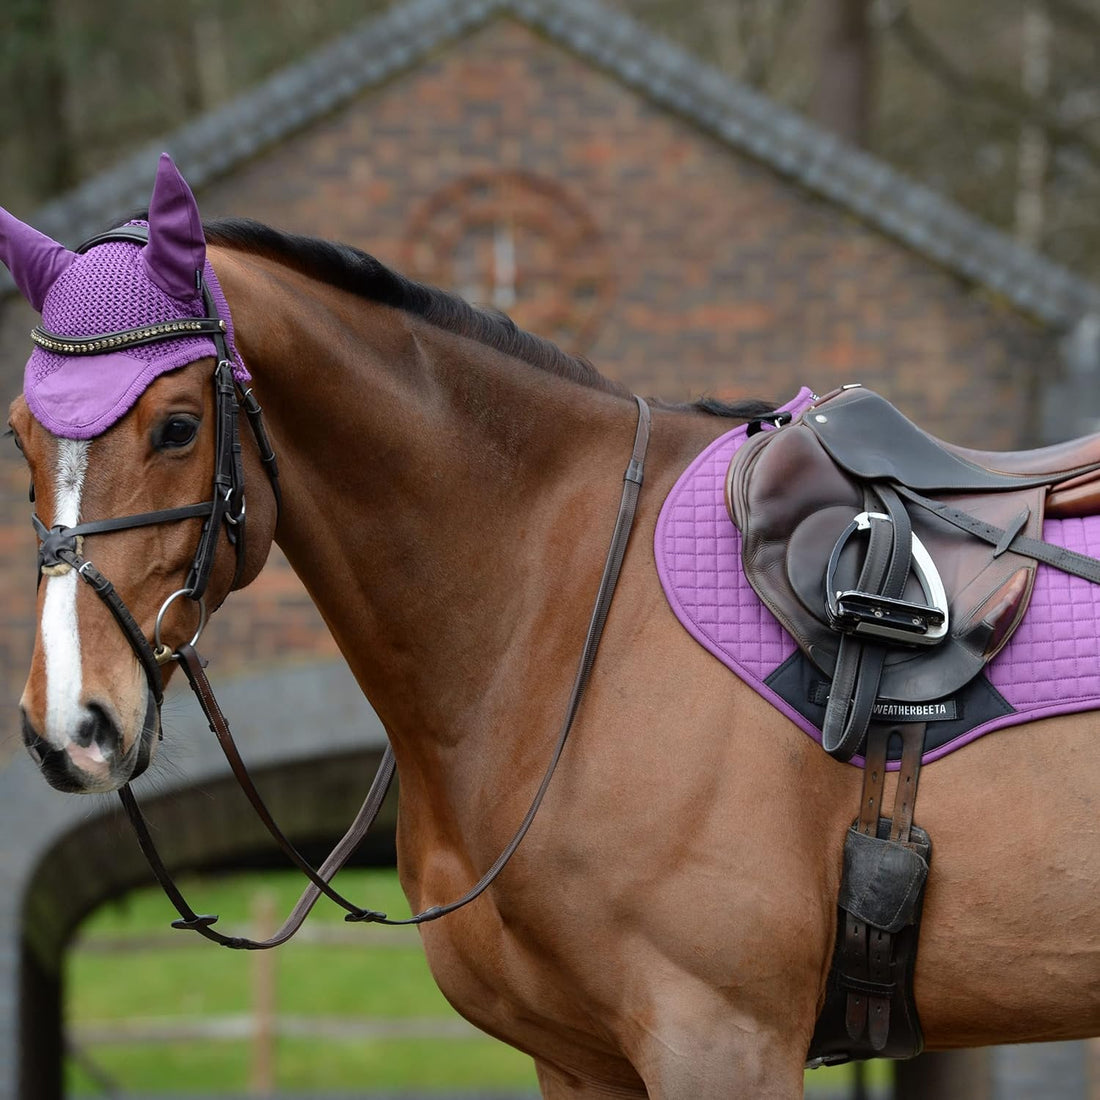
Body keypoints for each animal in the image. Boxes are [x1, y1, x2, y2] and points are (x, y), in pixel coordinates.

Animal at [6, 157, 1100, 1100]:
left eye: (177, 426)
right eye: (20, 435)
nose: (71, 725)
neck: (560, 603)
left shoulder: (720, 1039)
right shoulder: (580, 1060)